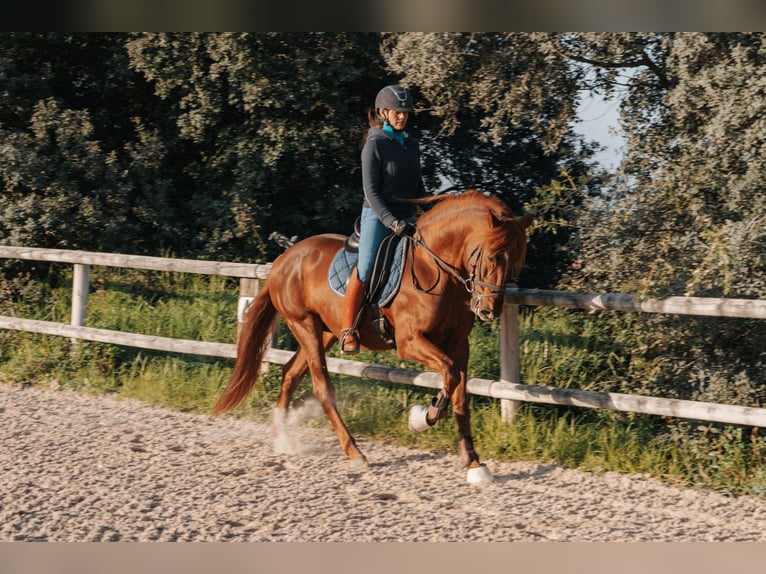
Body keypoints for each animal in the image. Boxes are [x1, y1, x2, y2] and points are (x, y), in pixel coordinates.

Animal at [212, 190, 536, 486]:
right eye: (492, 256)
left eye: (516, 263)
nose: (489, 310)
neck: (435, 268)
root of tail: (283, 259)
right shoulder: (410, 342)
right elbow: (450, 374)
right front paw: (423, 417)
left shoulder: (459, 344)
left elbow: (459, 395)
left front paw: (473, 463)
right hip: (303, 325)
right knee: (321, 387)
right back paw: (354, 452)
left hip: (325, 331)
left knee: (291, 372)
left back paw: (281, 437)